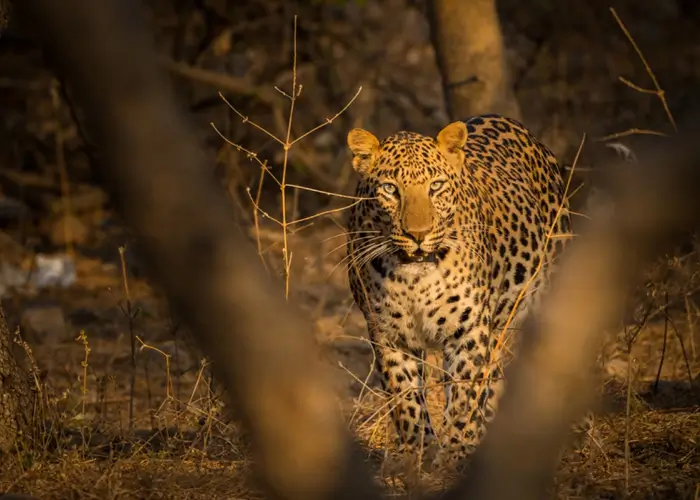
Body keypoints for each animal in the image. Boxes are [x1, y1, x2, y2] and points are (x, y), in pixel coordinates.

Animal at [345, 114, 577, 468]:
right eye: (390, 189)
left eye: (436, 186)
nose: (418, 235)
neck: (414, 281)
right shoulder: (388, 336)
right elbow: (408, 404)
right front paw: (419, 459)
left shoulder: (469, 331)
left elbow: (464, 399)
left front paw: (453, 456)